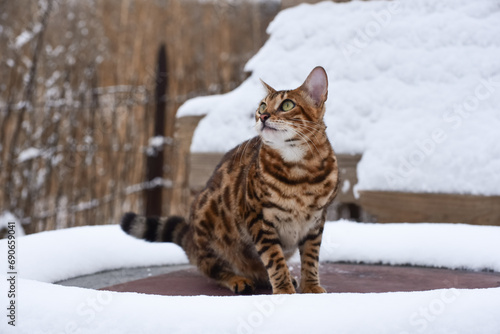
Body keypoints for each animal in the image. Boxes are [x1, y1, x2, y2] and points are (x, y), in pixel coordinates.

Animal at [121, 66, 340, 294]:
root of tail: (190, 237)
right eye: (262, 105)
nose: (262, 115)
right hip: (209, 225)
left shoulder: (315, 222)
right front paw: (284, 290)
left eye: (287, 104)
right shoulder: (258, 218)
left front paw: (311, 287)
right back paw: (238, 280)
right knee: (213, 269)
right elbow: (274, 259)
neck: (300, 173)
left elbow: (311, 258)